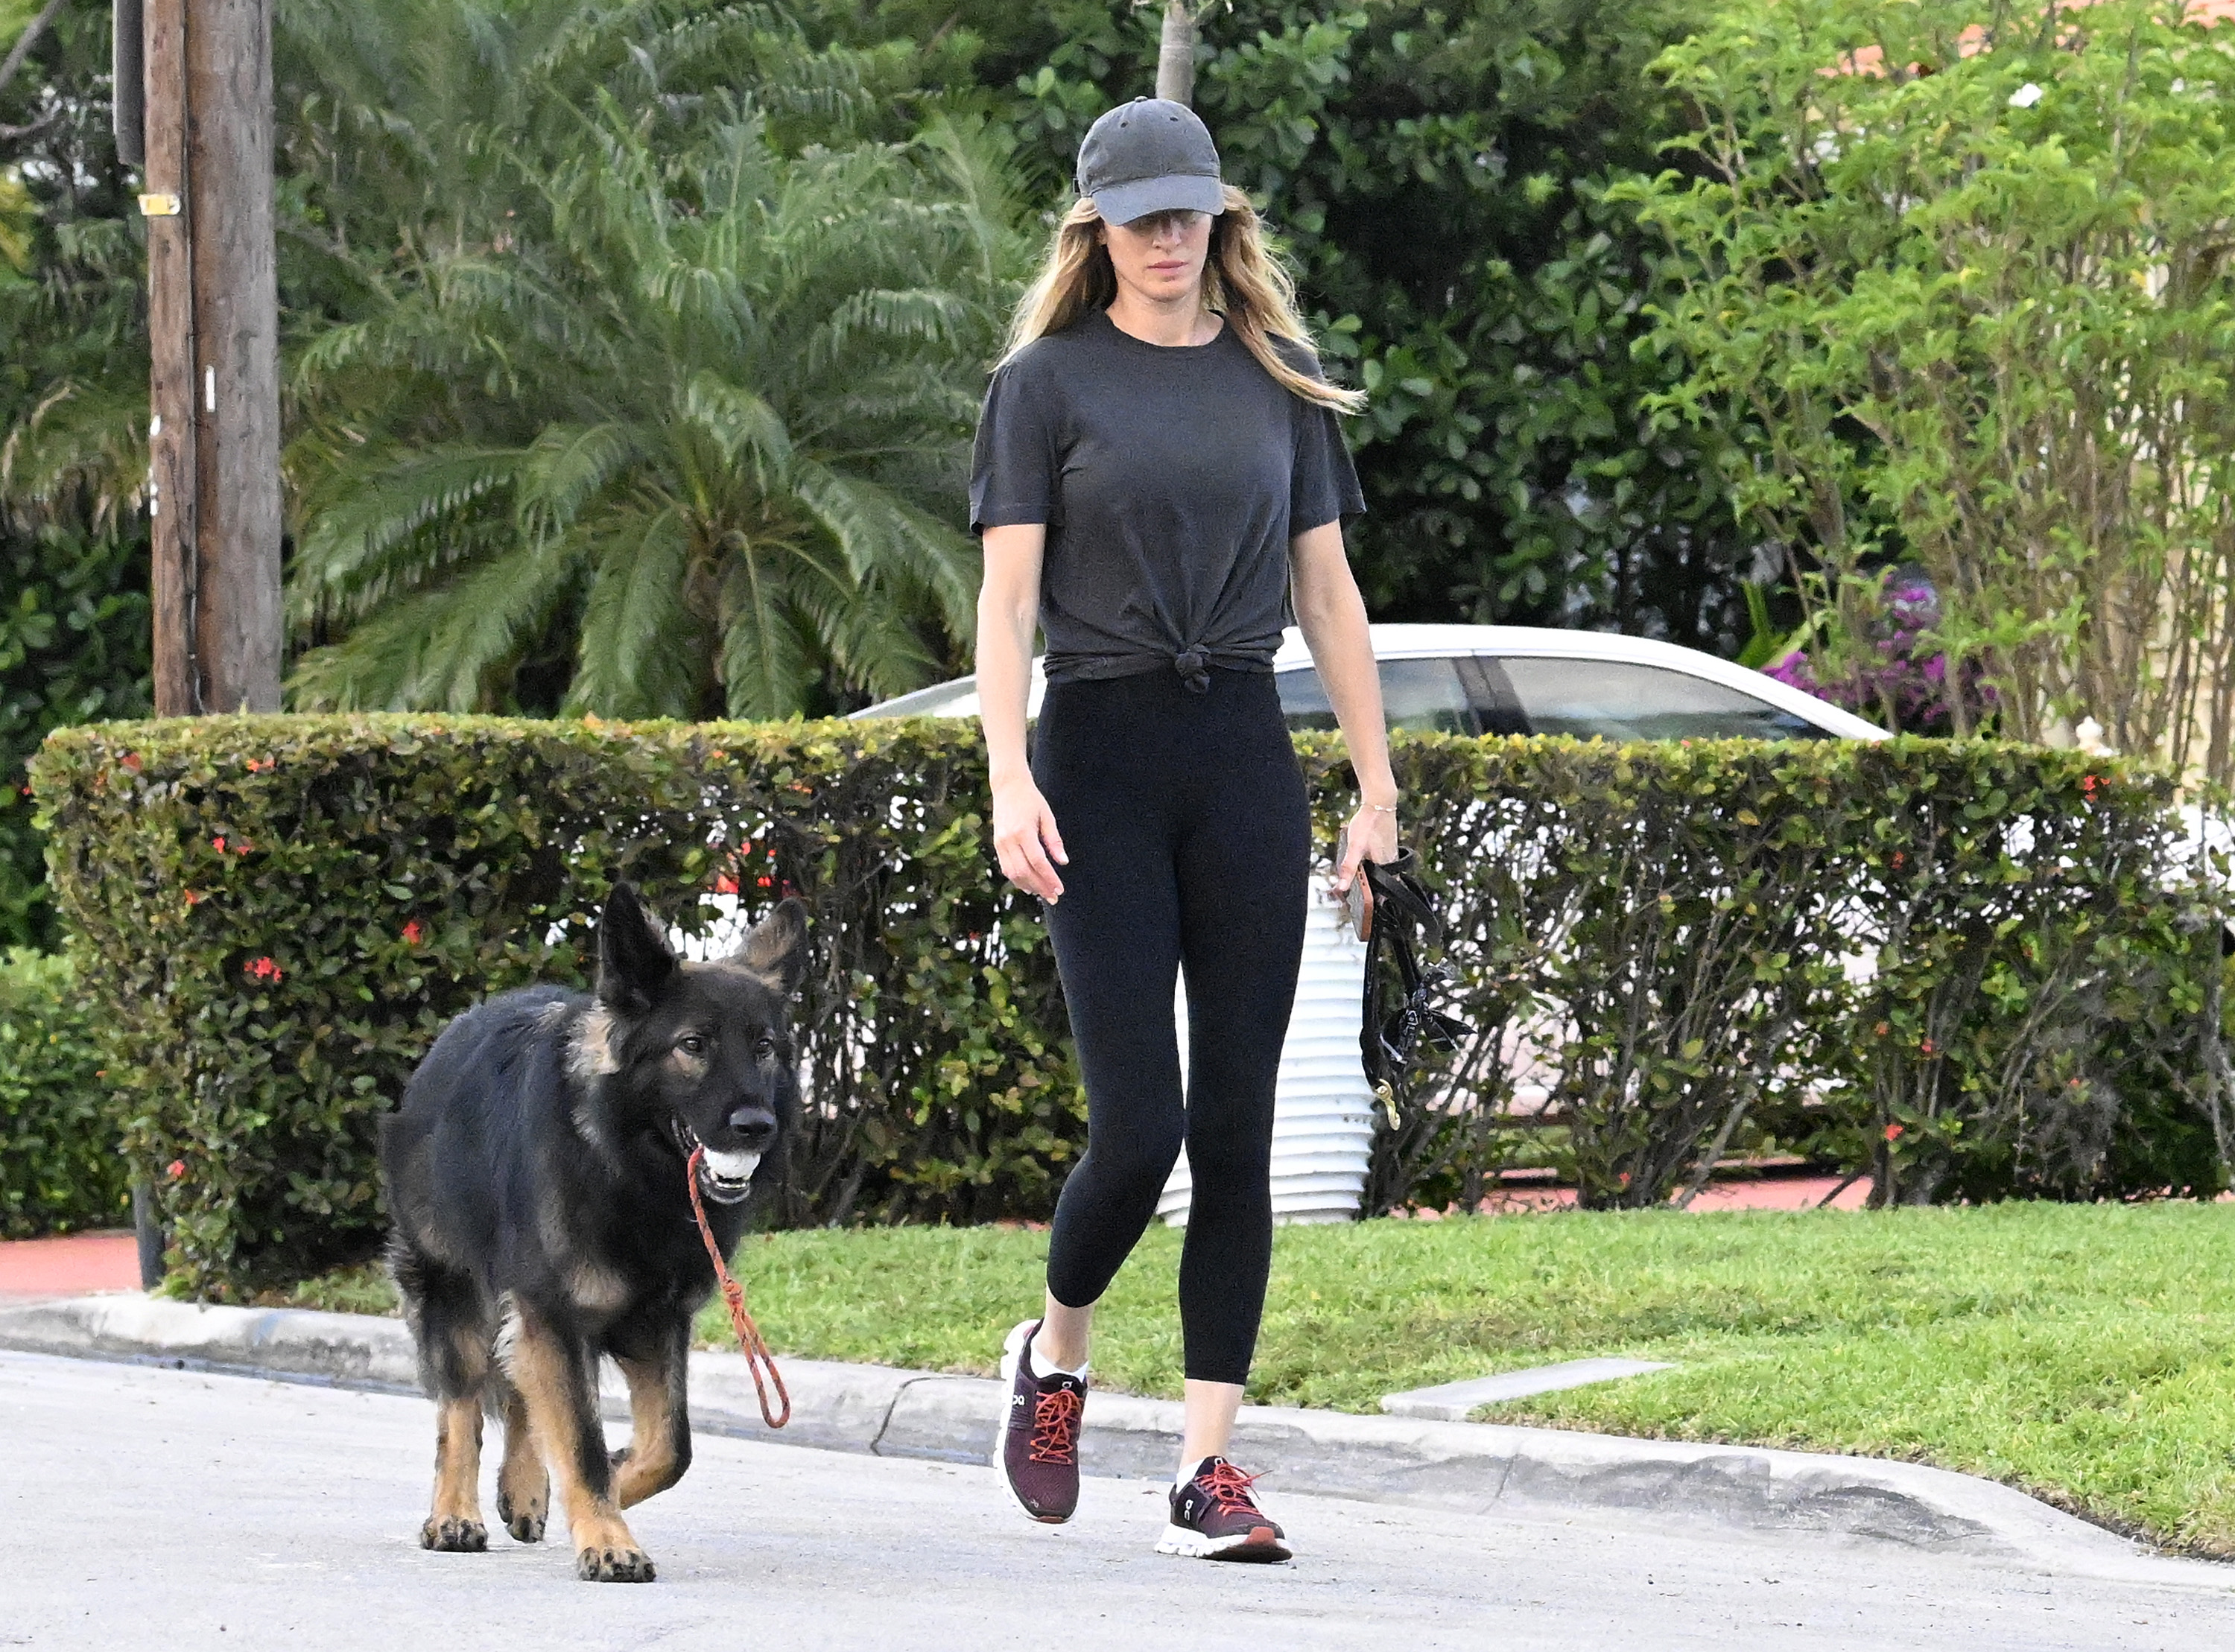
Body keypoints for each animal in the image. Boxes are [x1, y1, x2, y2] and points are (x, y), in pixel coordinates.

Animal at [380, 885, 809, 1582]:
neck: (627, 1167)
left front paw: (605, 1489)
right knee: (461, 1407)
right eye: (693, 1044)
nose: (757, 1126)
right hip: (452, 1289)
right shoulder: (553, 1310)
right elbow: (579, 1439)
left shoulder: (654, 1321)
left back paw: (524, 1488)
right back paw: (454, 1514)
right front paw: (608, 1538)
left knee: (518, 1389)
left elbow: (669, 1448)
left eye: (765, 1046)